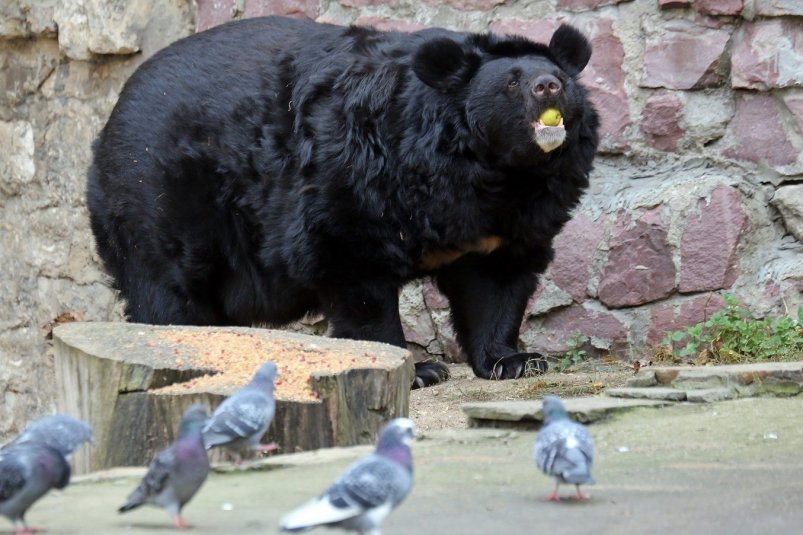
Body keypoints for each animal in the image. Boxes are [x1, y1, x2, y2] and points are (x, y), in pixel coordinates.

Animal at [91, 14, 600, 388]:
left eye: (560, 78)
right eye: (512, 82)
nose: (548, 86)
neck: (495, 172)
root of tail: (110, 119)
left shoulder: (512, 218)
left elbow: (496, 282)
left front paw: (514, 360)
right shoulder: (358, 176)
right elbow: (355, 273)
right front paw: (417, 369)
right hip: (159, 197)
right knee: (167, 291)